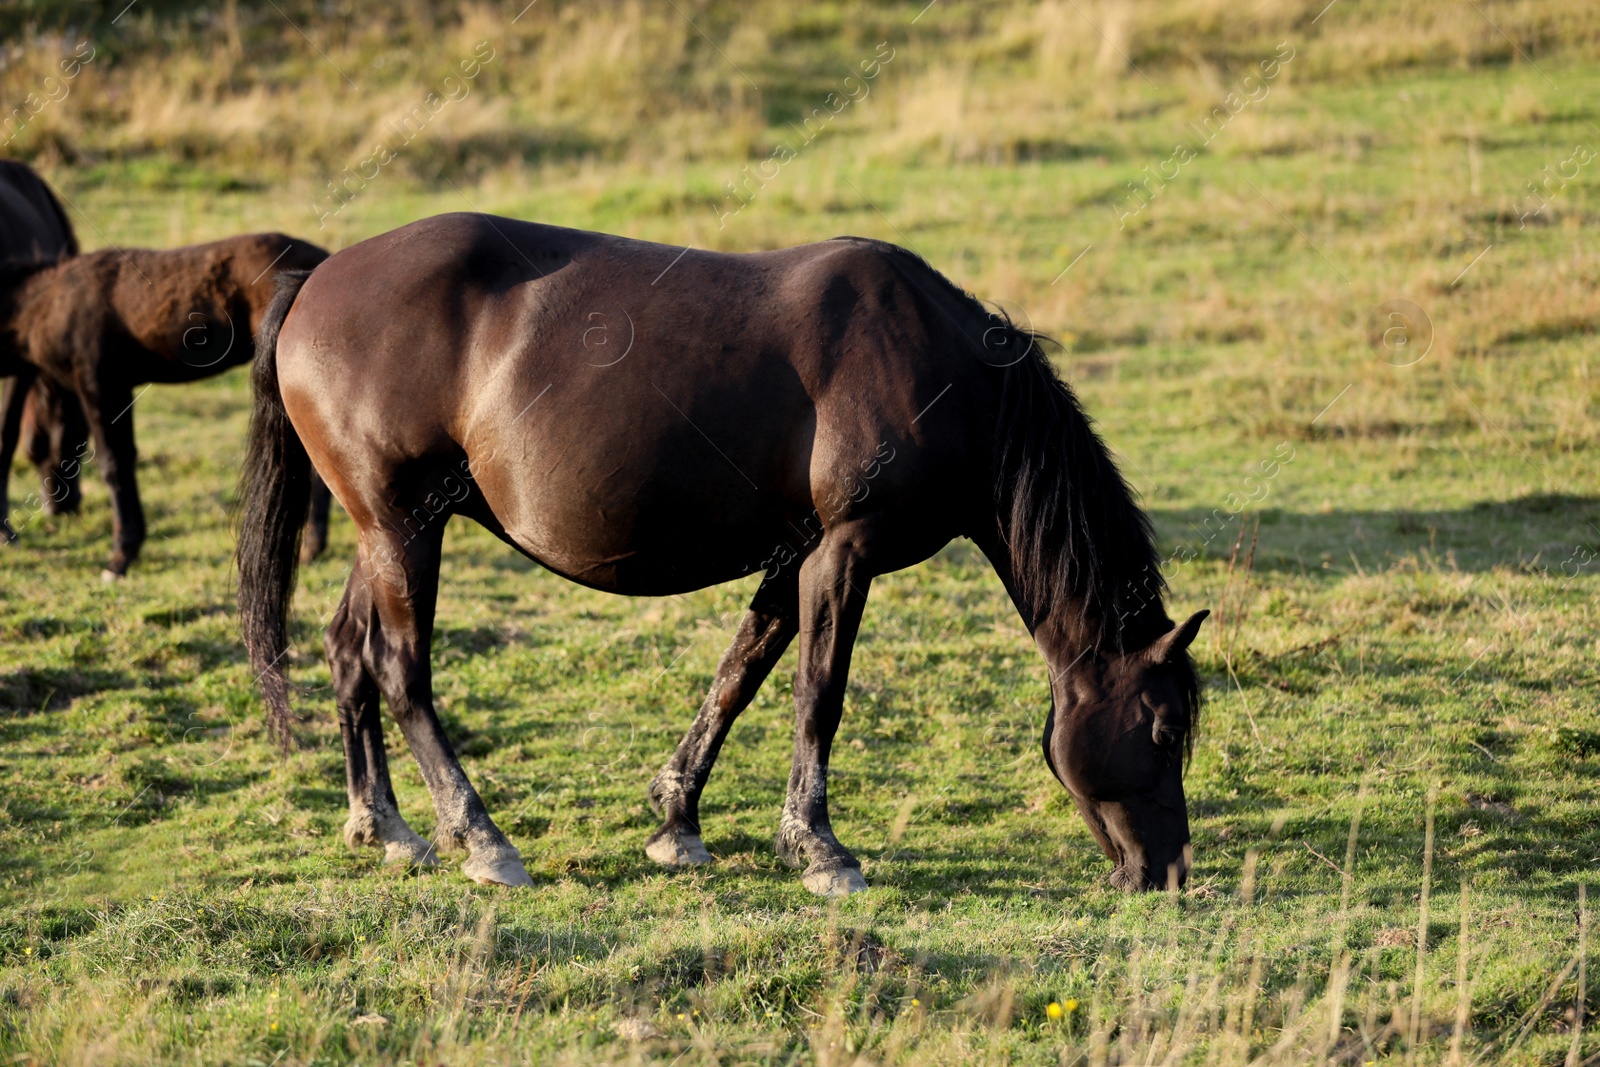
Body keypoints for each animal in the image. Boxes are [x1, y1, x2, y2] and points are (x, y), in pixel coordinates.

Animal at [236, 212, 1203, 895]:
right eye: (1162, 729)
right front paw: (818, 848)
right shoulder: (845, 552)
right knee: (403, 672)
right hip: (404, 529)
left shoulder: (796, 557)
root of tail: (319, 278)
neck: (944, 375)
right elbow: (818, 695)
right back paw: (480, 838)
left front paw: (677, 819)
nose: (1165, 872)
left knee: (349, 650)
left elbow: (739, 675)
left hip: (388, 530)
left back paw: (384, 825)